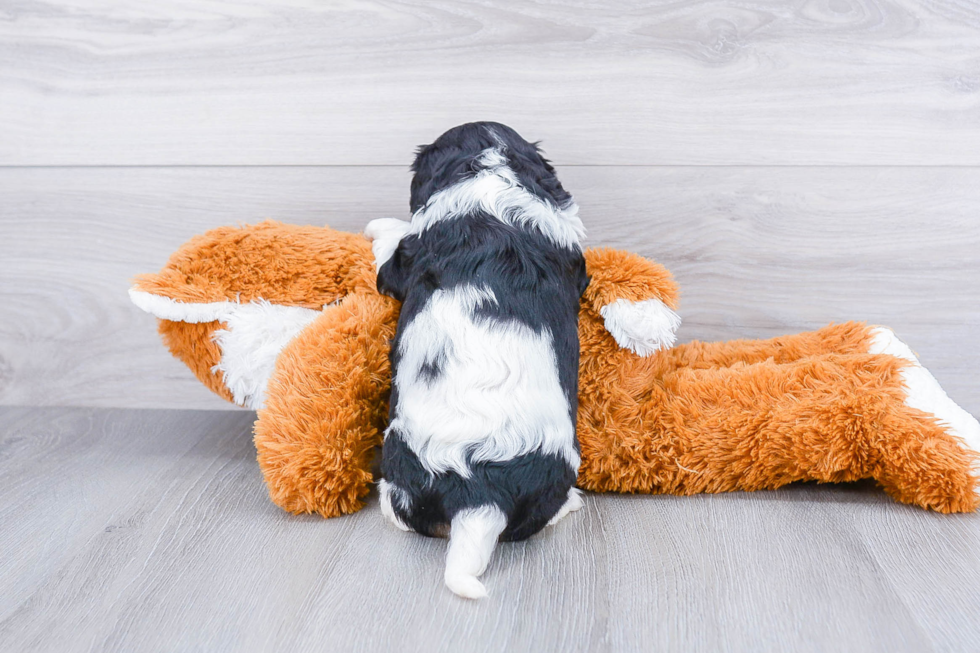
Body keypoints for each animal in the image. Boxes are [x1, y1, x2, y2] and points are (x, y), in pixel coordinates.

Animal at [364, 119, 584, 600]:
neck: (489, 170)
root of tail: (480, 493)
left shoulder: (404, 258)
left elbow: (392, 245)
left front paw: (377, 223)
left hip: (402, 468)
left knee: (402, 511)